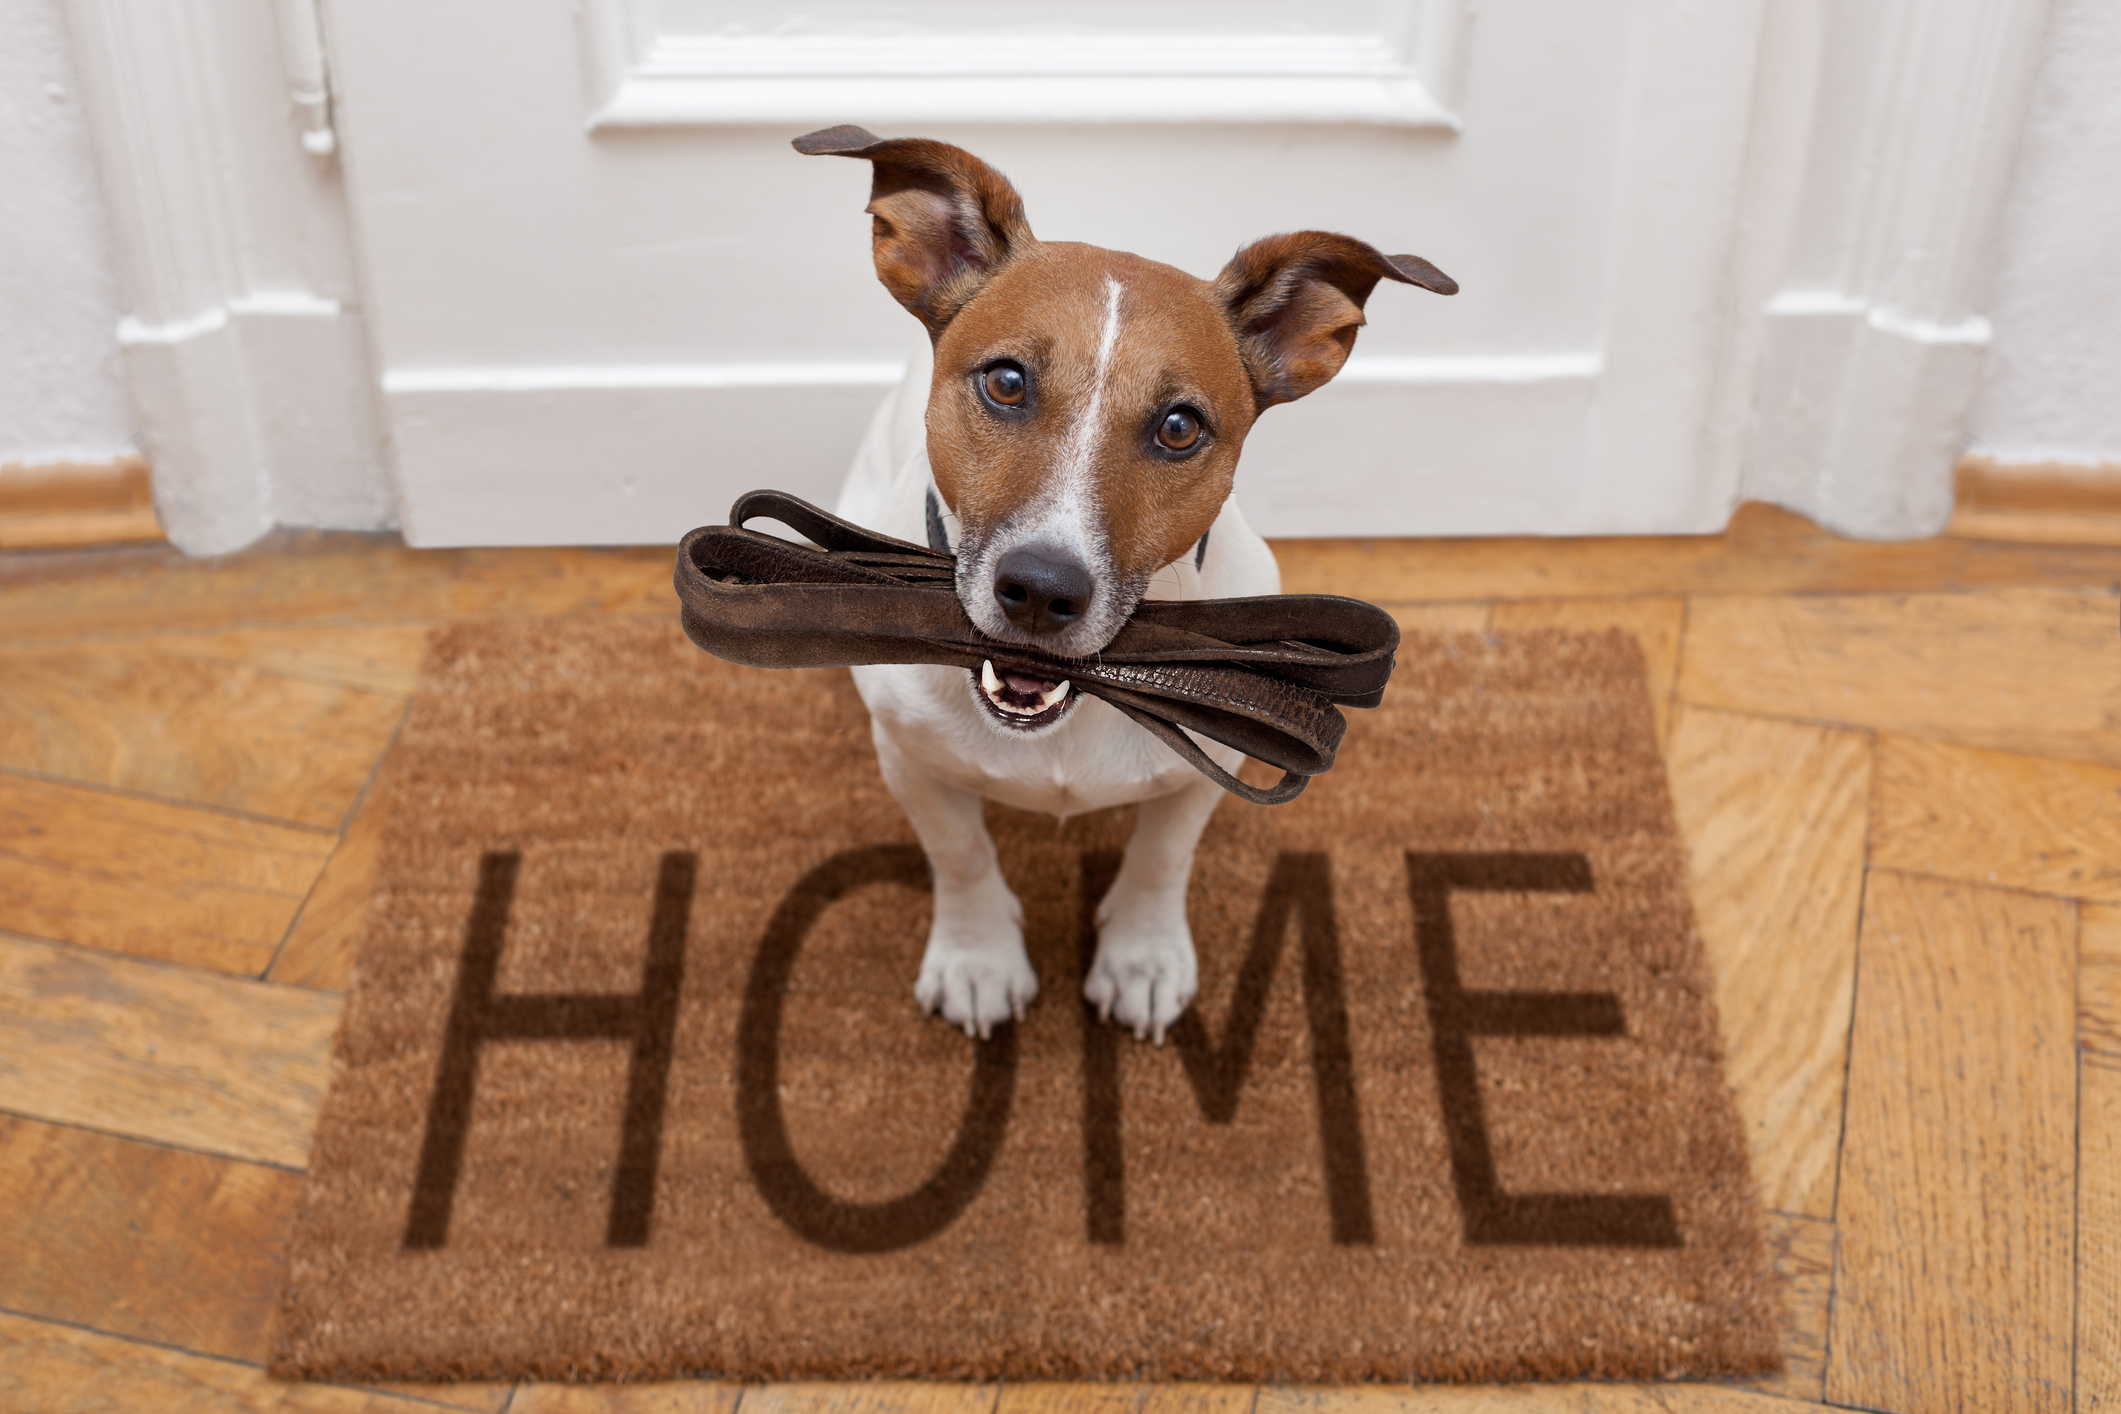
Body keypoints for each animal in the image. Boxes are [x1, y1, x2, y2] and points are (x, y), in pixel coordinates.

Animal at [797, 127, 1459, 1047]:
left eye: (1179, 427)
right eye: (1006, 382)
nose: (1041, 590)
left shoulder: (1207, 767)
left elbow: (1160, 859)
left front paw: (1141, 958)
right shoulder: (909, 760)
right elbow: (959, 854)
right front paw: (977, 957)